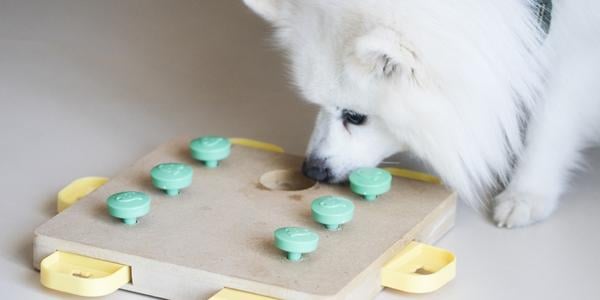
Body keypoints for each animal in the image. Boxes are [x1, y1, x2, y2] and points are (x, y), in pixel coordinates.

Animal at [244, 0, 600, 227]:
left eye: (355, 116)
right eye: (317, 104)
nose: (311, 170)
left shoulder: (577, 53)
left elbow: (550, 125)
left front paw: (526, 194)